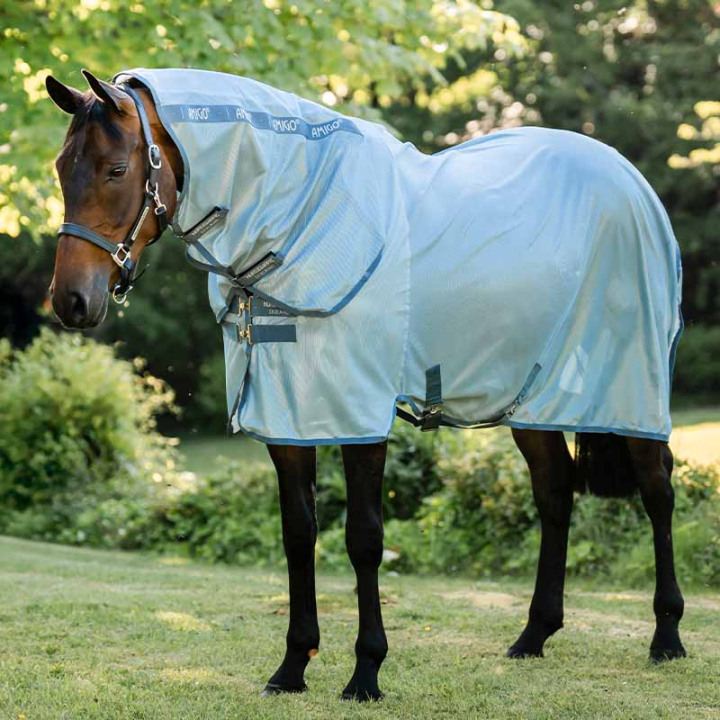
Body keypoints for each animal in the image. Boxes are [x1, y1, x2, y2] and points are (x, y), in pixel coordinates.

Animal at [45, 69, 687, 702]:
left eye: (116, 170)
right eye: (60, 167)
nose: (72, 301)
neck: (310, 215)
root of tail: (630, 180)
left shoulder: (359, 415)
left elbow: (364, 539)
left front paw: (366, 672)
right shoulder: (289, 417)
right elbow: (298, 533)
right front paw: (292, 666)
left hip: (631, 388)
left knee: (658, 490)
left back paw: (667, 637)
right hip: (530, 401)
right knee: (554, 491)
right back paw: (533, 635)